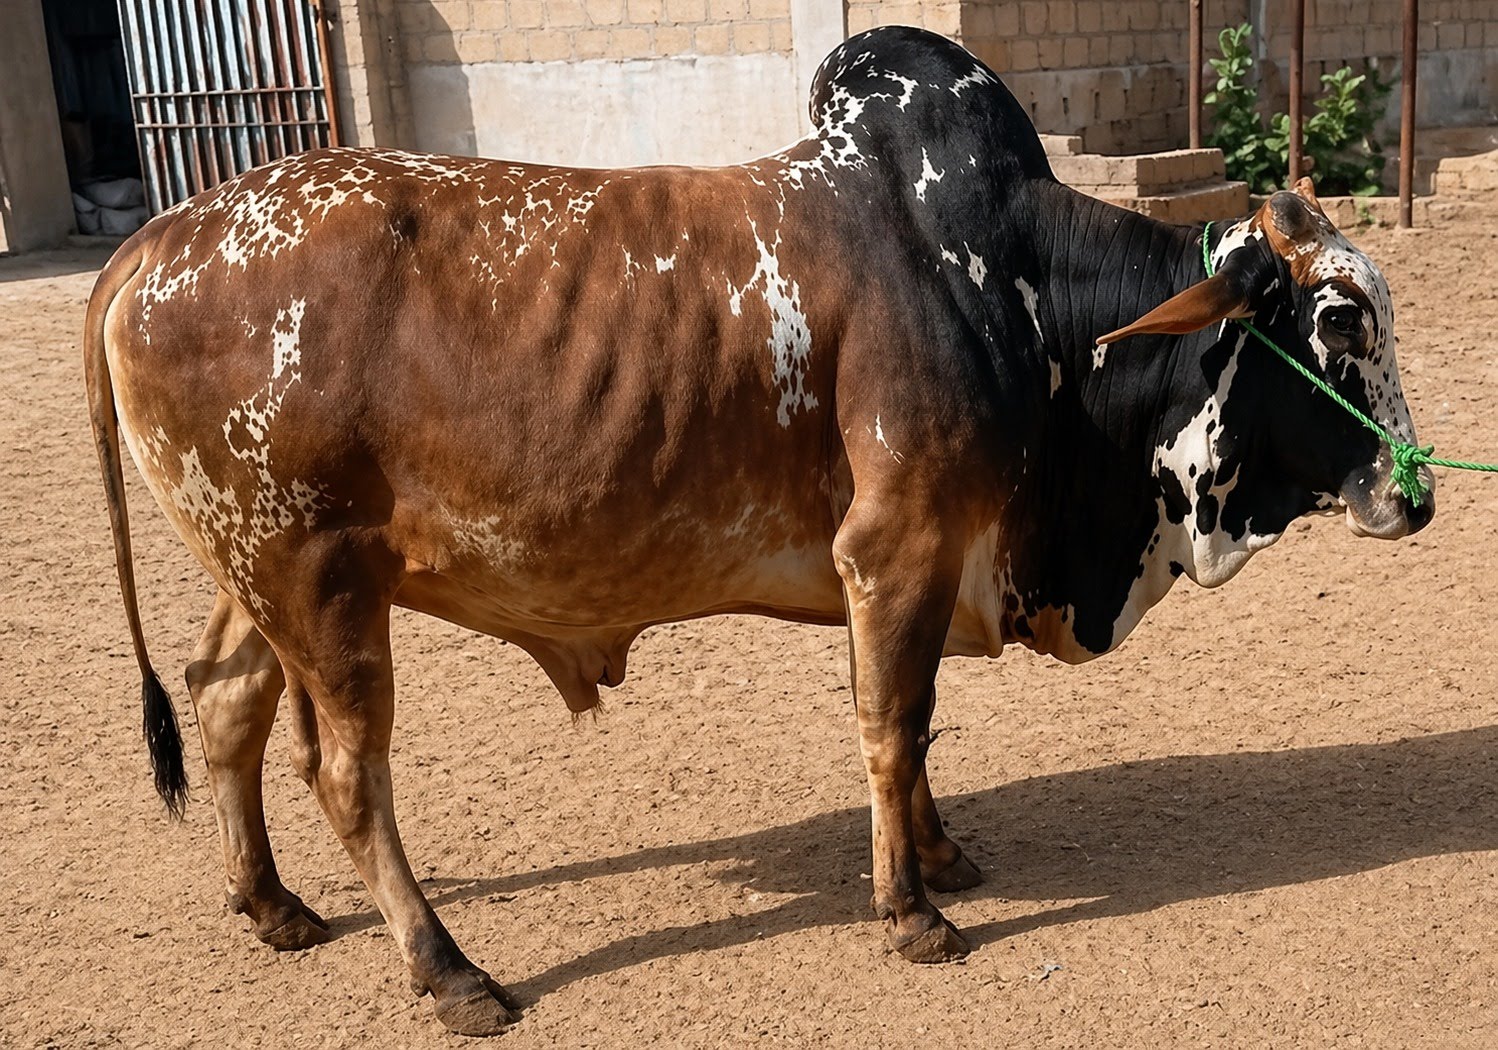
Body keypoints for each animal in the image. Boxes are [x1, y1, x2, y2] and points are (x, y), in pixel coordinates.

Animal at [86, 26, 1432, 1036]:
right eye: (1340, 320)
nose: (1416, 495)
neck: (1005, 287)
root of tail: (154, 240)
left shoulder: (924, 564)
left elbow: (917, 727)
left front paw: (940, 857)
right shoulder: (893, 547)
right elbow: (889, 729)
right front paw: (910, 912)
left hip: (262, 570)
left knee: (224, 699)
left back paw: (271, 905)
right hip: (314, 580)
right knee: (345, 773)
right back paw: (449, 970)